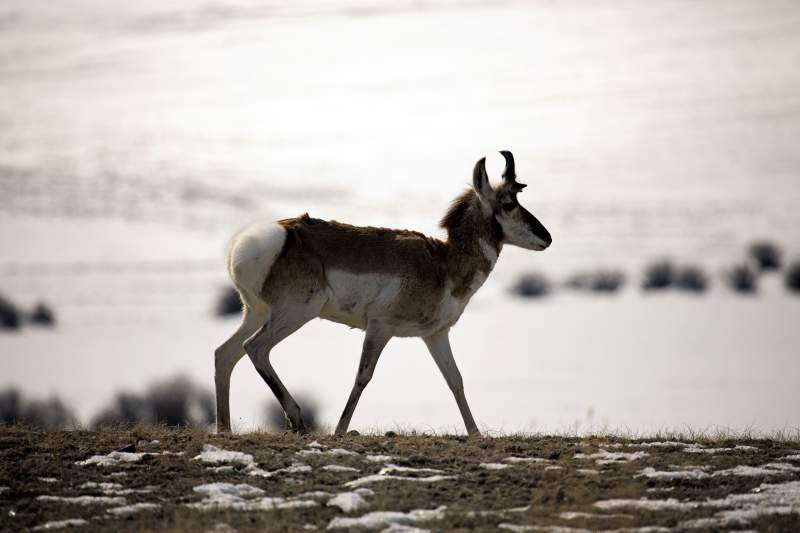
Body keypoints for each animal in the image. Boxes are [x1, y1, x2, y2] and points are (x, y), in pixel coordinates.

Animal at [214, 152, 552, 434]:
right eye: (508, 203)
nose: (546, 238)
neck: (443, 263)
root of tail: (264, 240)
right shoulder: (379, 328)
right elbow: (362, 377)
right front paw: (340, 431)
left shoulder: (435, 335)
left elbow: (455, 380)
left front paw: (475, 434)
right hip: (296, 314)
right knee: (255, 348)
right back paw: (296, 418)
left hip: (257, 313)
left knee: (224, 354)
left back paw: (225, 429)